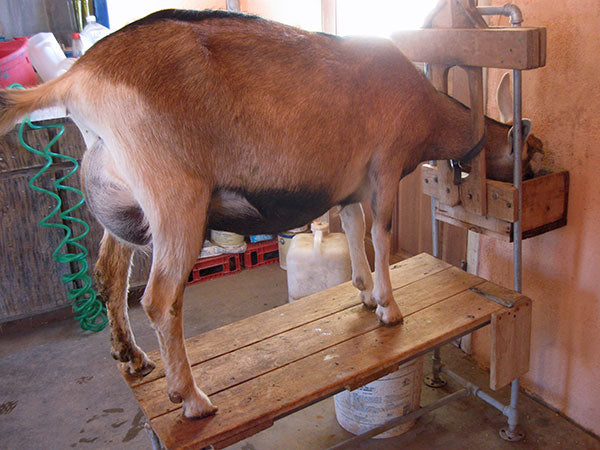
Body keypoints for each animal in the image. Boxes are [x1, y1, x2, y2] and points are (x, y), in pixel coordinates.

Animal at [0, 9, 536, 418]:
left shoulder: (348, 183)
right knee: (158, 298)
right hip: (175, 196)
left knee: (110, 272)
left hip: (123, 200)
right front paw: (389, 307)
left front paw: (364, 293)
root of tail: (77, 78)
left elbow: (354, 228)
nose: (534, 175)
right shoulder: (385, 164)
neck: (427, 107)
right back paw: (191, 398)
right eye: (530, 152)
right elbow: (381, 236)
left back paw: (131, 358)